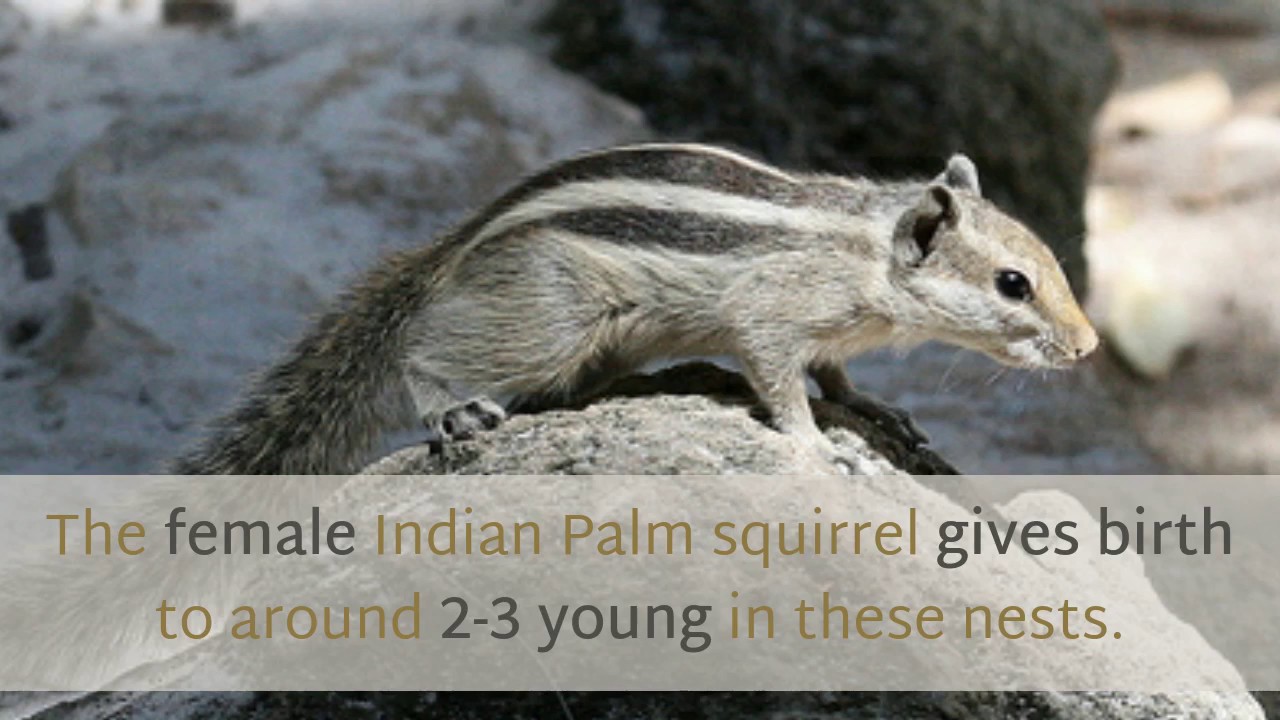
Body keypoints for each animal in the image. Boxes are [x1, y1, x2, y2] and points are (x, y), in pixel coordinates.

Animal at [170, 143, 1098, 475]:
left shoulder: (830, 332)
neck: (866, 248)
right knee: (424, 353)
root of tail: (451, 248)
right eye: (1014, 283)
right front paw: (819, 444)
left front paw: (873, 407)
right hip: (549, 317)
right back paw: (452, 411)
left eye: (1051, 265)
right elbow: (780, 380)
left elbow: (834, 373)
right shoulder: (771, 311)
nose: (1088, 347)